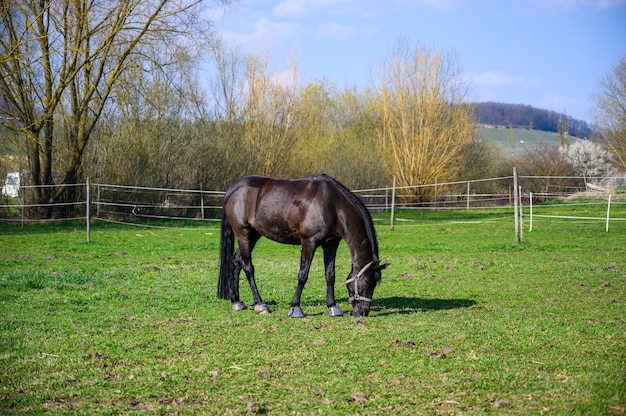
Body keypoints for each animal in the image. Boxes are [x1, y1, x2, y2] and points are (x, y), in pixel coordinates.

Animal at [218, 174, 386, 316]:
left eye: (374, 285)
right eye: (366, 284)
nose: (362, 313)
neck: (331, 204)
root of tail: (232, 190)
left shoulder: (331, 243)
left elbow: (330, 275)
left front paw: (332, 306)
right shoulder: (309, 242)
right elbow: (303, 274)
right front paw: (295, 307)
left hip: (253, 235)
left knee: (236, 262)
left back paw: (236, 302)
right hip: (243, 233)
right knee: (248, 267)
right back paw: (260, 304)